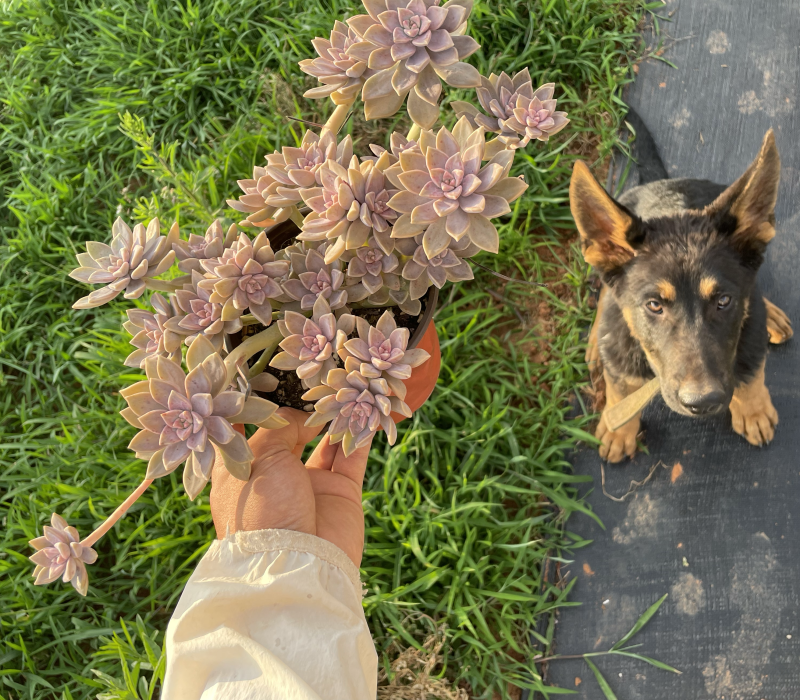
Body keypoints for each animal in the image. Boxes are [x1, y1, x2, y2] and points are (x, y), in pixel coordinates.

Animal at [572, 109, 792, 462]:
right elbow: (620, 389)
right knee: (605, 294)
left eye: (724, 300)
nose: (703, 403)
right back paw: (595, 340)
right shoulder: (623, 360)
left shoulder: (749, 334)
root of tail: (663, 182)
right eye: (654, 305)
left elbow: (750, 374)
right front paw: (619, 430)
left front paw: (753, 409)